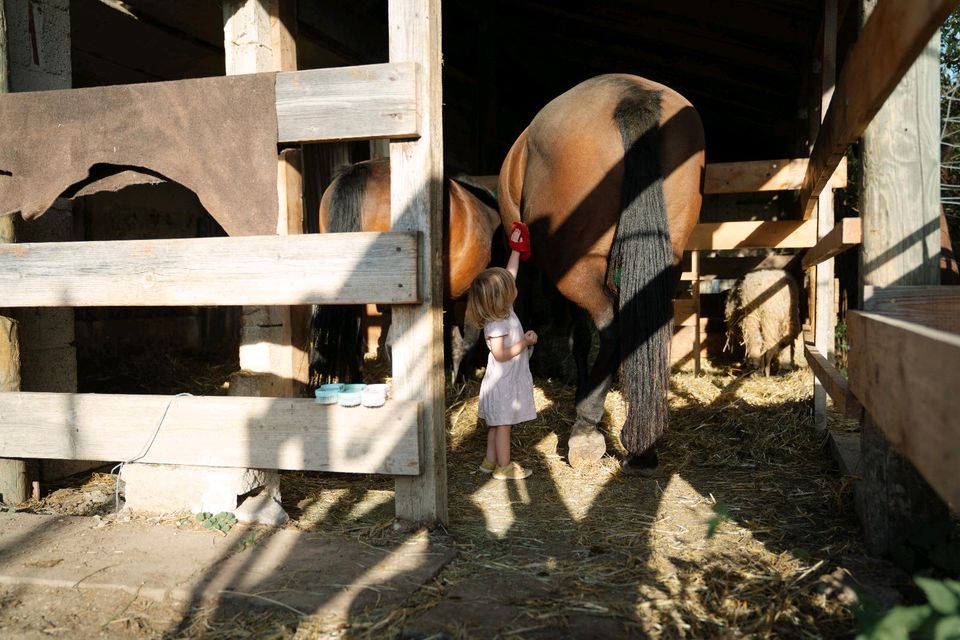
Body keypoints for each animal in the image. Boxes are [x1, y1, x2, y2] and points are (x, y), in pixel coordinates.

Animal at [498, 75, 700, 472]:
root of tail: (632, 94)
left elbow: (578, 336)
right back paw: (642, 445)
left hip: (574, 268)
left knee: (610, 329)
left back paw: (587, 431)